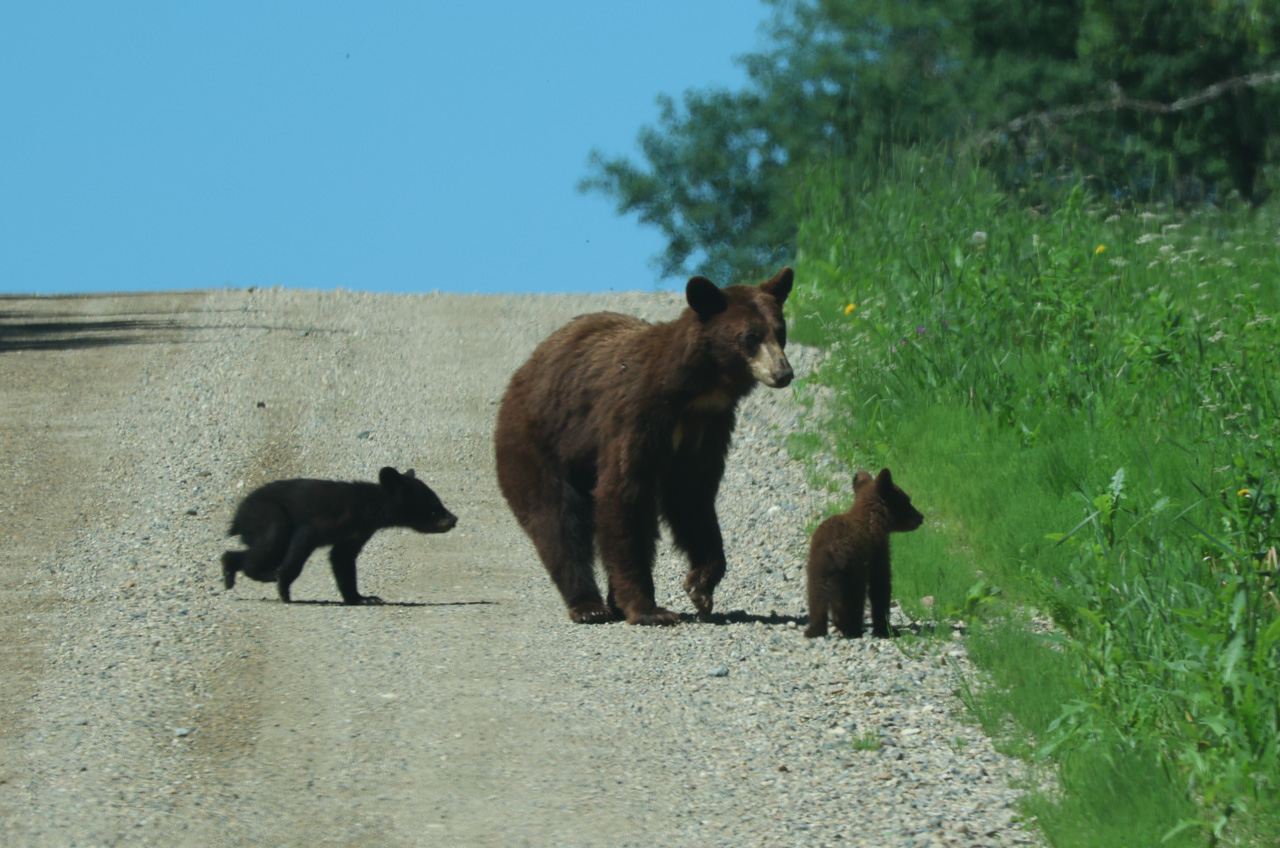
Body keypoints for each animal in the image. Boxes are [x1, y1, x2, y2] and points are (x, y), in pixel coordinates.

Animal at [221, 466, 457, 605]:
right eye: (433, 506)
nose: (453, 519)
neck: (369, 509)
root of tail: (238, 516)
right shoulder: (328, 518)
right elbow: (302, 544)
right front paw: (284, 589)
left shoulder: (357, 532)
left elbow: (343, 560)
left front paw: (363, 598)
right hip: (266, 511)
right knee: (274, 537)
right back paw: (265, 574)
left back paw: (230, 570)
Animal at [494, 267, 795, 625]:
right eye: (750, 337)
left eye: (780, 331)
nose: (783, 372)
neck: (695, 392)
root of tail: (521, 374)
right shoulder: (635, 414)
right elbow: (624, 493)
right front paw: (649, 608)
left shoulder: (708, 428)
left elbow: (692, 497)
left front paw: (700, 587)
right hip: (537, 440)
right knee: (556, 519)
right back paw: (588, 605)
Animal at [804, 467, 923, 638]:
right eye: (907, 500)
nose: (921, 517)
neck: (871, 518)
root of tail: (832, 549)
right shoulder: (878, 549)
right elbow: (880, 584)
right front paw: (886, 629)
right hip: (852, 570)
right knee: (853, 598)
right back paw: (852, 628)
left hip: (817, 568)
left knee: (816, 598)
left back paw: (815, 629)